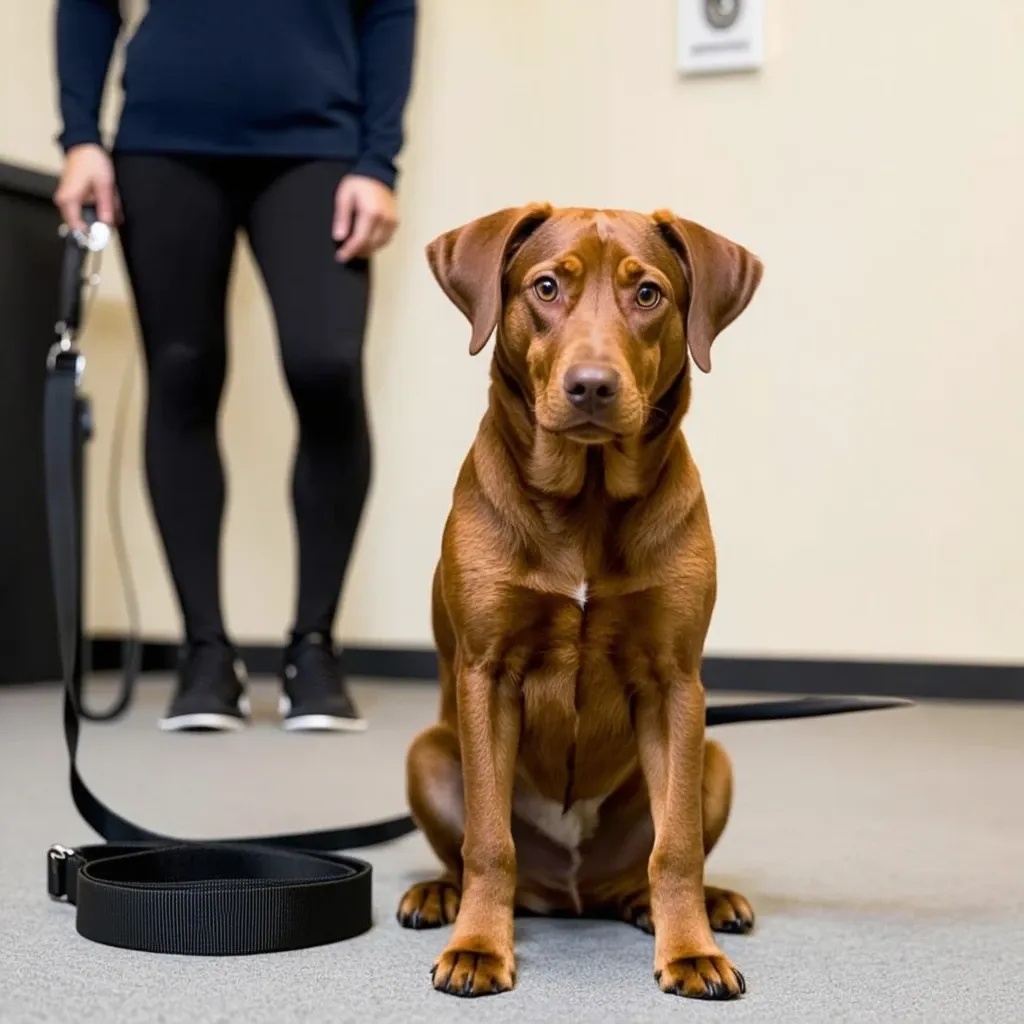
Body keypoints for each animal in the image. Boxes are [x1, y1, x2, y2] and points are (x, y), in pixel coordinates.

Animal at [395, 205, 765, 999]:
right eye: (545, 287)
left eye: (649, 293)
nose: (592, 386)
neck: (588, 500)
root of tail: (569, 893)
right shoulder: (486, 674)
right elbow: (488, 841)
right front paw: (479, 945)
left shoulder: (675, 685)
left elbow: (677, 847)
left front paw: (690, 951)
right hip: (429, 752)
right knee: (463, 851)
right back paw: (439, 895)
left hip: (714, 754)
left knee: (653, 860)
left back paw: (686, 903)